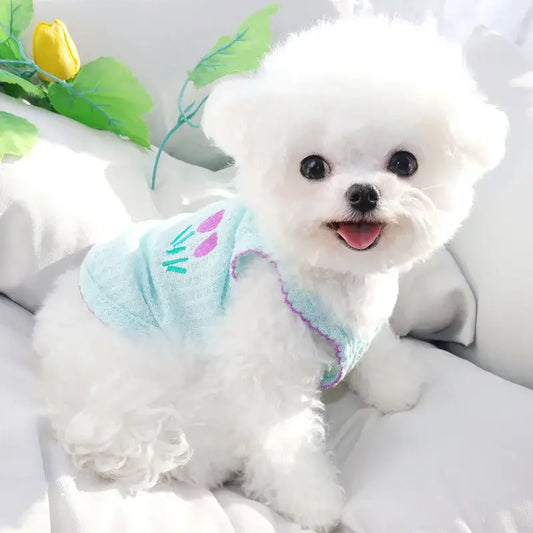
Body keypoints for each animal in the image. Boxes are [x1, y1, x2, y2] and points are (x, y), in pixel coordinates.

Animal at [33, 4, 508, 528]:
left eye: (404, 163)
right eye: (312, 167)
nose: (363, 193)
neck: (329, 276)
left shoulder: (364, 321)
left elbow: (379, 349)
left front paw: (394, 388)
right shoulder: (264, 364)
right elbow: (286, 443)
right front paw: (314, 504)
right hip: (148, 383)